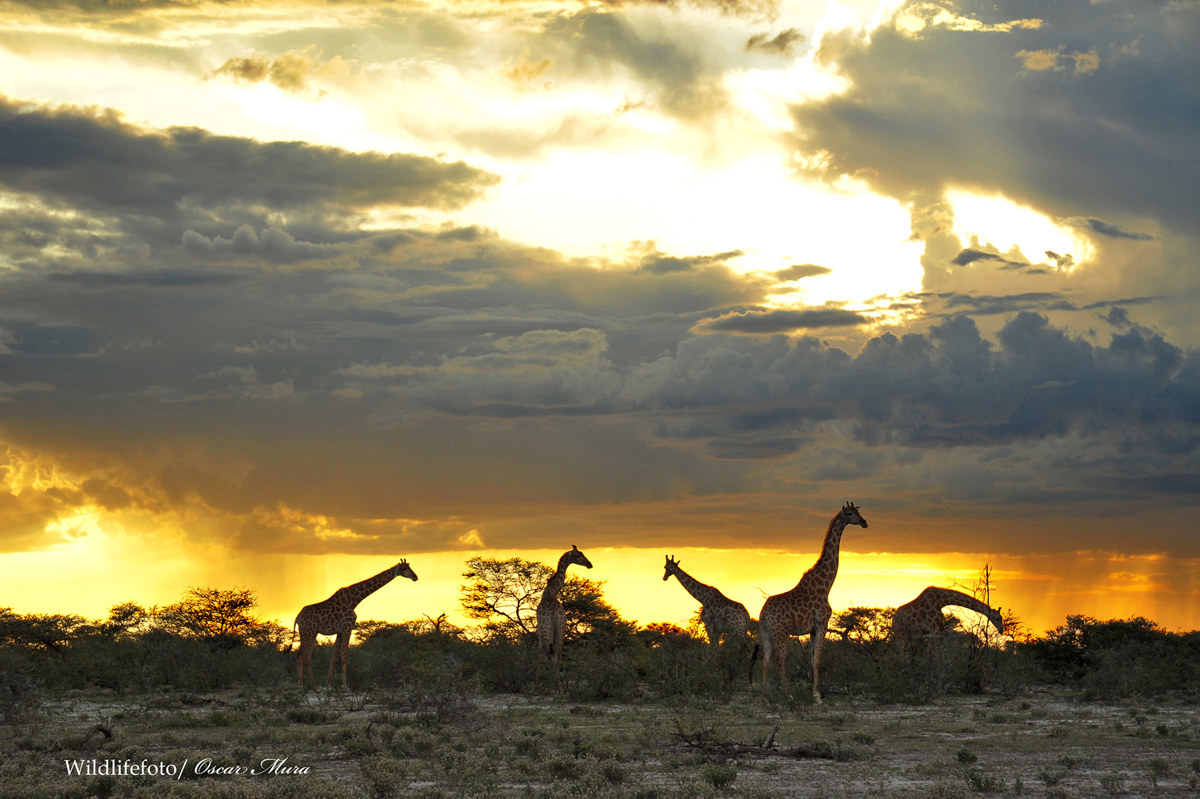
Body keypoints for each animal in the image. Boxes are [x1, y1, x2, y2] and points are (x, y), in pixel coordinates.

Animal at [535, 545, 593, 691]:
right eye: (578, 555)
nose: (590, 564)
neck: (550, 592)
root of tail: (555, 615)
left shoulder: (539, 630)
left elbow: (540, 655)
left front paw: (535, 687)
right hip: (561, 630)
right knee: (559, 655)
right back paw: (560, 689)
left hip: (548, 631)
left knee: (550, 655)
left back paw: (554, 687)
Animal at [758, 501, 868, 704]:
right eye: (849, 514)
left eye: (858, 512)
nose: (864, 522)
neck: (826, 586)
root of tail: (763, 614)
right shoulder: (822, 623)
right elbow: (817, 660)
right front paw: (817, 697)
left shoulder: (812, 629)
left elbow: (811, 660)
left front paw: (814, 693)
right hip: (782, 633)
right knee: (779, 660)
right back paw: (789, 696)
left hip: (766, 633)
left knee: (765, 660)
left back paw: (765, 698)